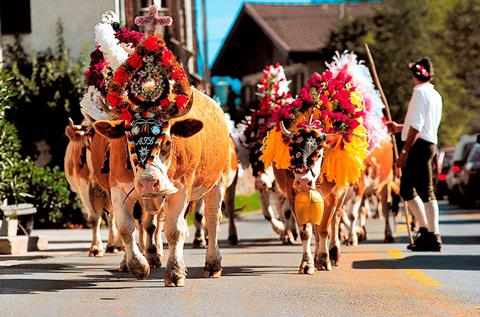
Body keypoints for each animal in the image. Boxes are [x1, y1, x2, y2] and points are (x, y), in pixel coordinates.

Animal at [93, 87, 232, 286]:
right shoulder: (118, 188)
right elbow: (126, 228)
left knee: (213, 220)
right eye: (129, 140)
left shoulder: (181, 188)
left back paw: (212, 264)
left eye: (167, 142)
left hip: (217, 181)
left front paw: (175, 272)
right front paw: (138, 266)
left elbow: (174, 230)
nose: (148, 182)